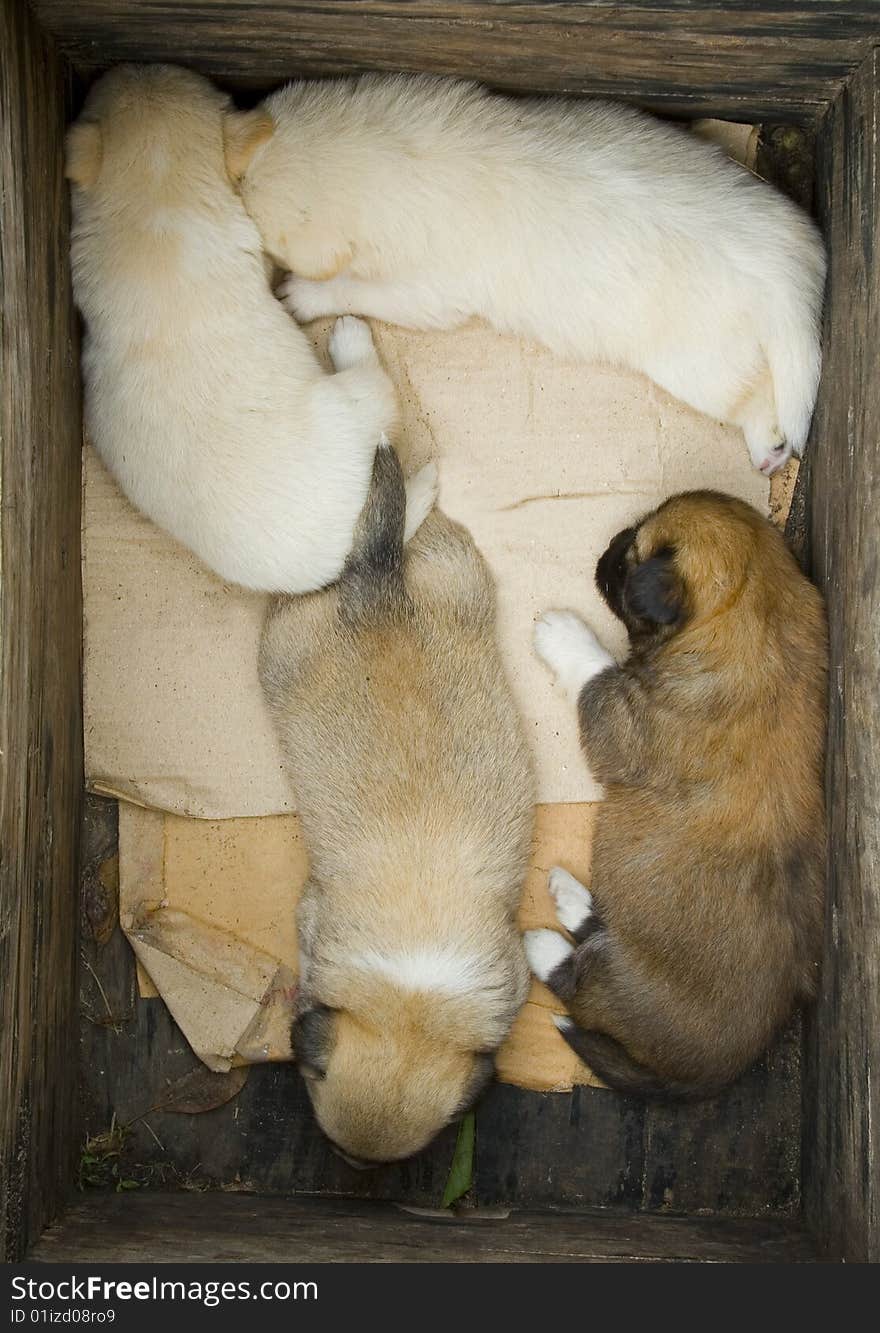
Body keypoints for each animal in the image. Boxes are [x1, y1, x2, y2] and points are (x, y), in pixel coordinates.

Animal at [225, 74, 826, 474]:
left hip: (698, 366)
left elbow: (357, 288)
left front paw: (303, 295)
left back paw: (768, 446)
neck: (391, 156)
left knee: (756, 399)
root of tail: (790, 280)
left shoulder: (428, 292)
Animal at [525, 495, 826, 1098]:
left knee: (581, 985)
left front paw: (563, 632)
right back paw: (573, 898)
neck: (752, 612)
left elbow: (593, 668)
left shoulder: (619, 719)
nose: (606, 549)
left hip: (617, 984)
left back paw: (543, 947)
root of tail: (715, 1073)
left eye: (626, 564)